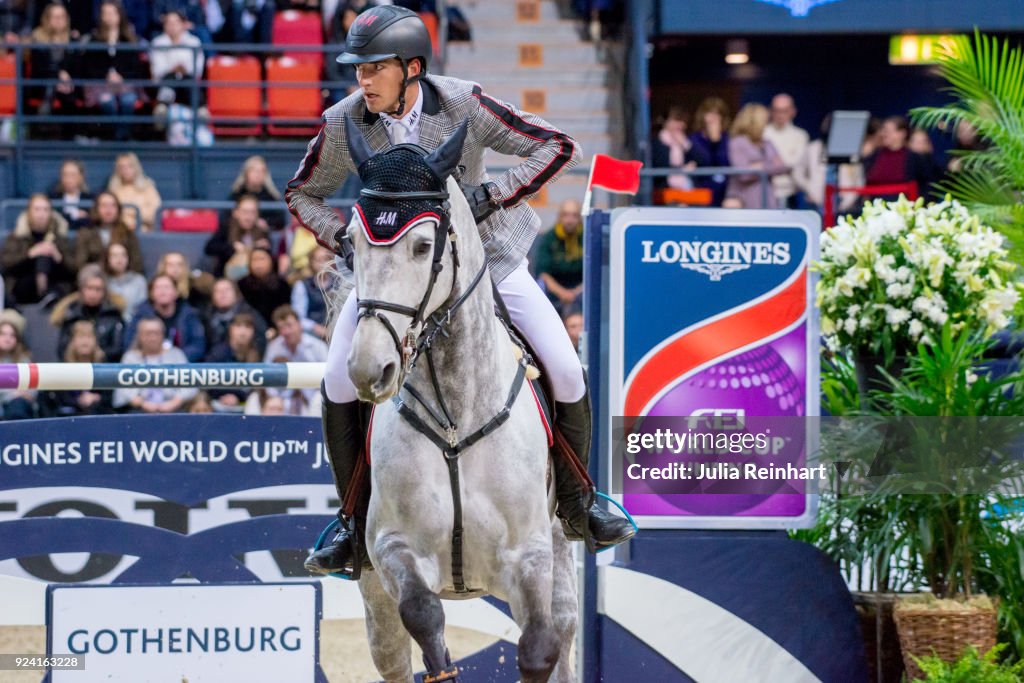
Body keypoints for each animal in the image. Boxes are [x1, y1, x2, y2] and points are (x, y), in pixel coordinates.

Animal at [337, 120, 573, 679]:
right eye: (351, 243)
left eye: (424, 246)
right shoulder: (393, 548)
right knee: (392, 655)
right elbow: (425, 617)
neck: (454, 417)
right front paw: (441, 661)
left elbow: (539, 648)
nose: (368, 368)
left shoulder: (529, 554)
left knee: (565, 632)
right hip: (373, 599)